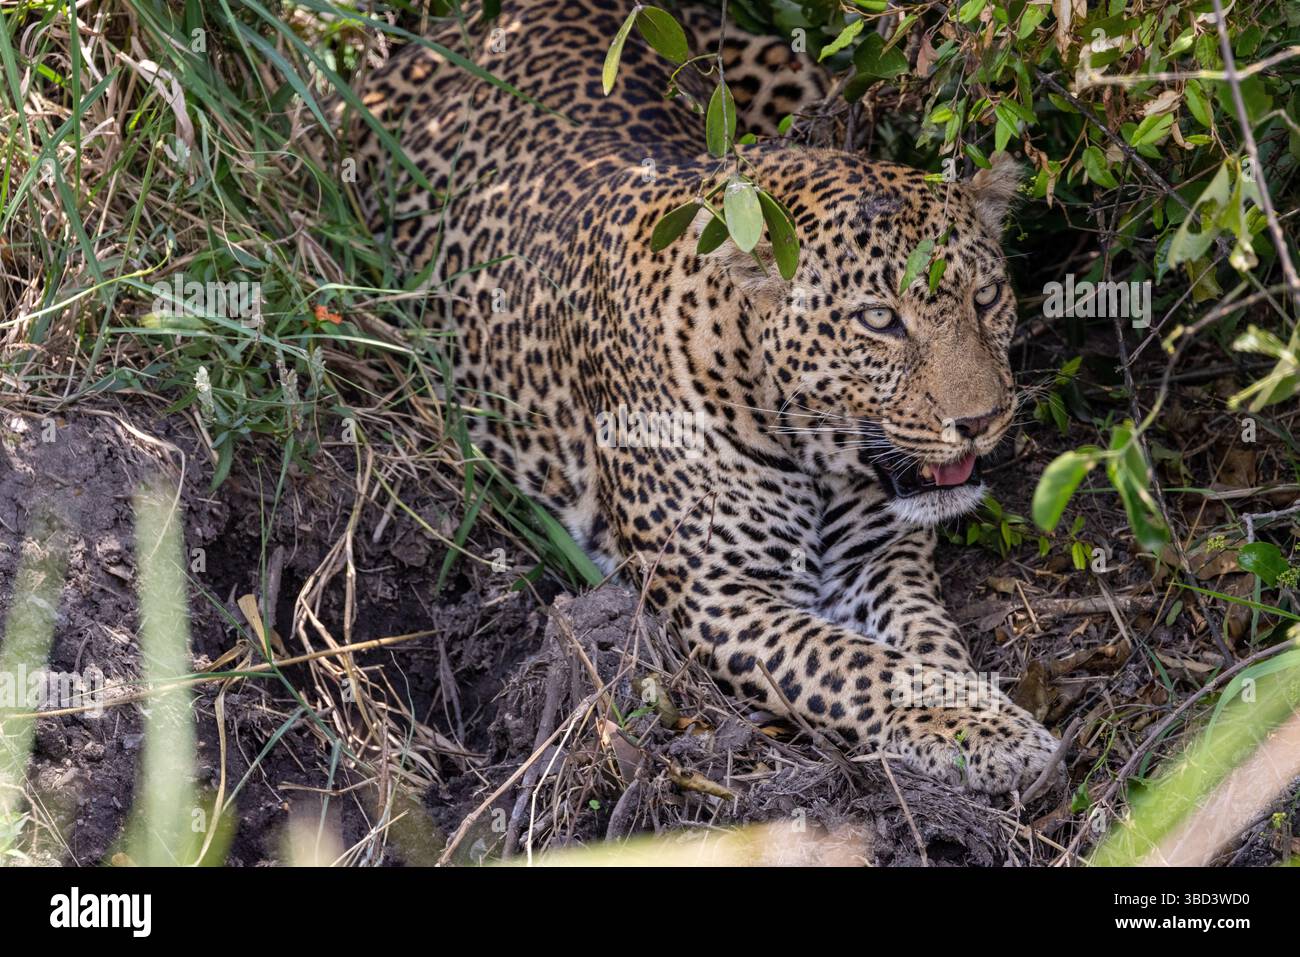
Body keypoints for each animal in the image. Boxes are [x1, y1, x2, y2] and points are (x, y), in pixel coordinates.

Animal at [342, 0, 1060, 794]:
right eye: (879, 320)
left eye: (986, 297)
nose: (982, 421)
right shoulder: (721, 594)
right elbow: (857, 666)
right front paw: (989, 732)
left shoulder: (881, 556)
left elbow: (925, 644)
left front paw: (969, 712)